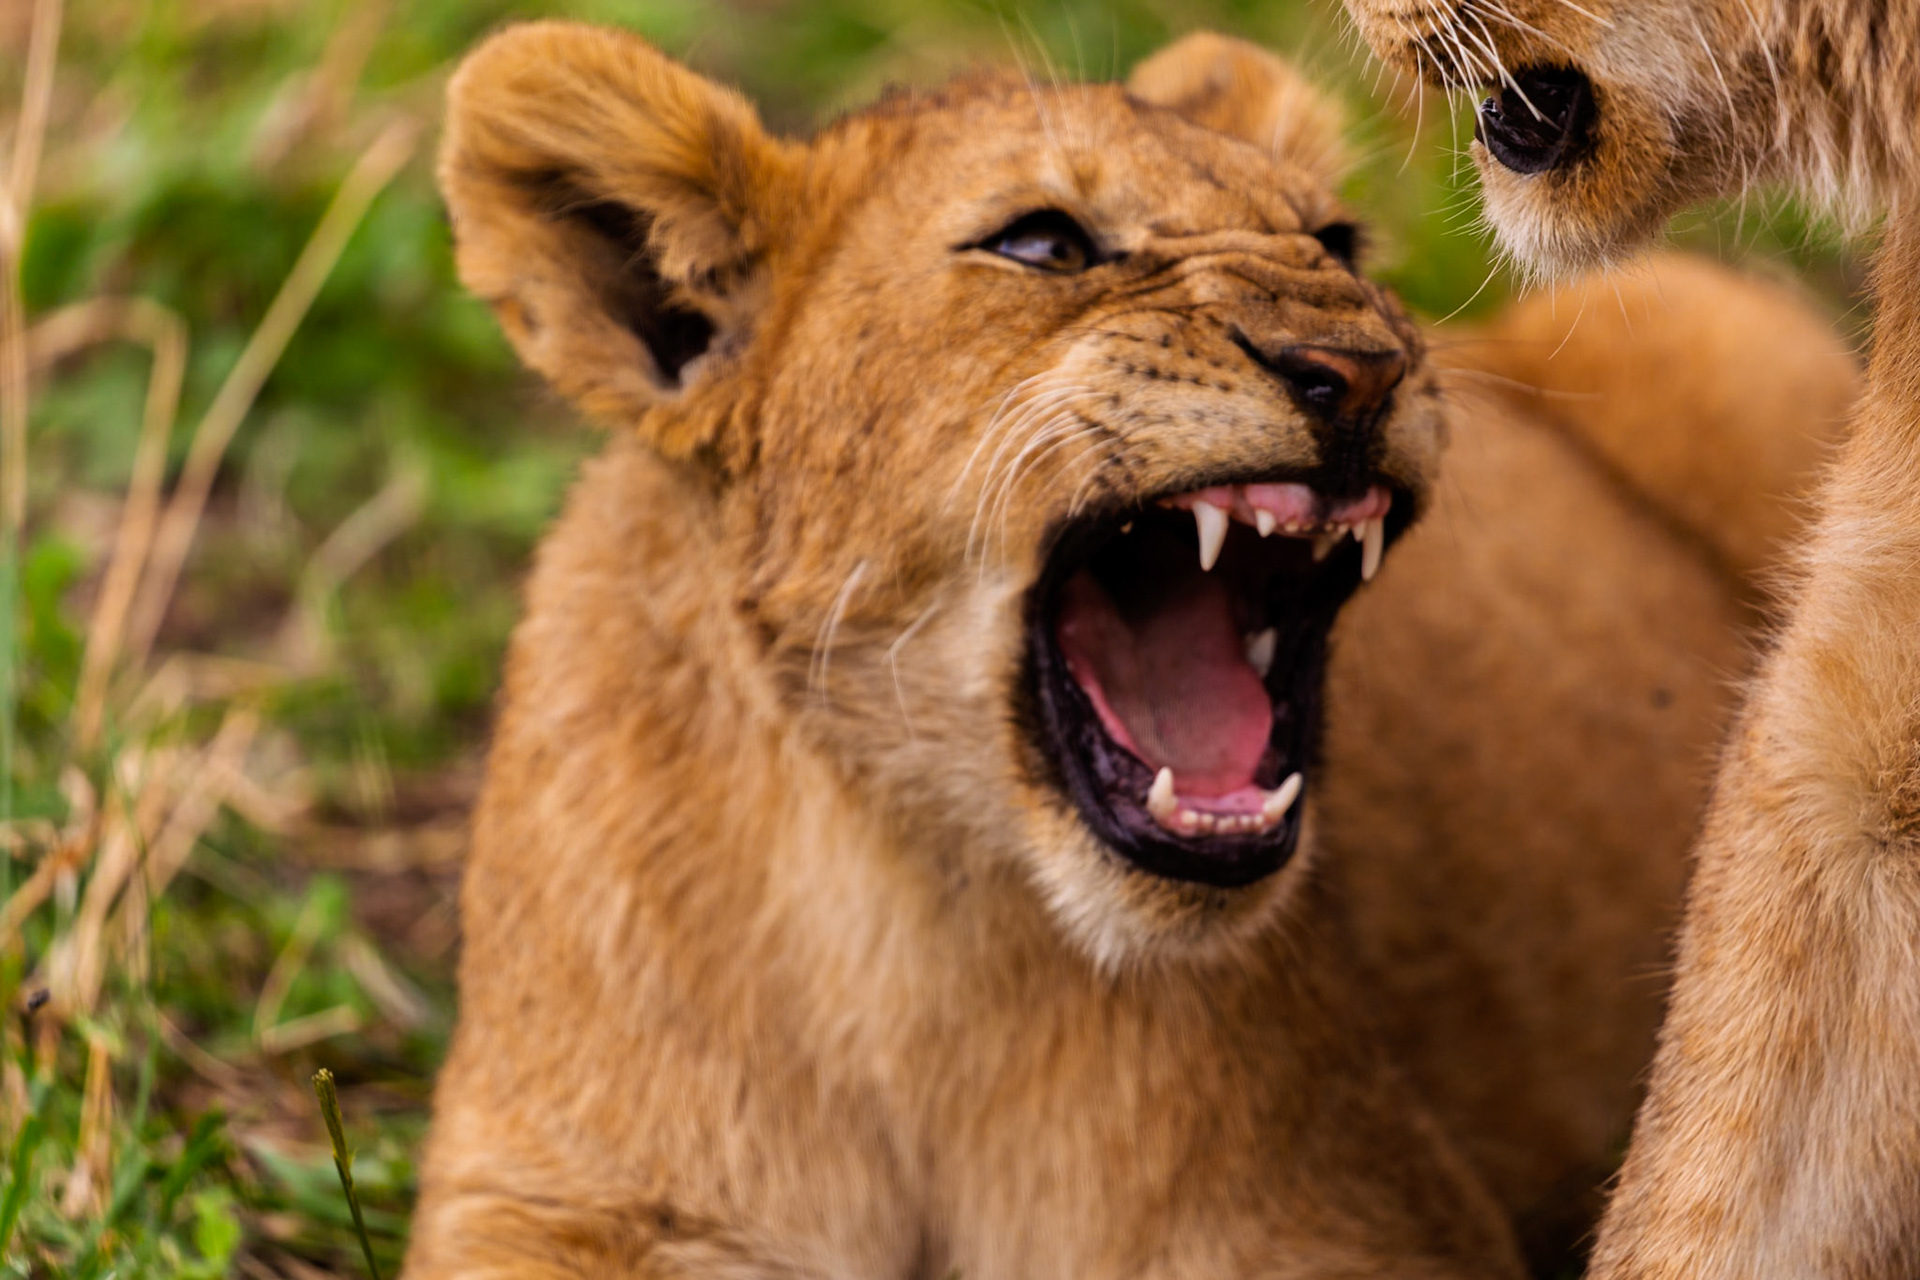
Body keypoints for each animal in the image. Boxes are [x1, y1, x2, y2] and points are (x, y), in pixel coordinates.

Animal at [404, 24, 1850, 1278]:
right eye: (1043, 242)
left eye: (1335, 242)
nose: (1359, 365)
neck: (914, 911)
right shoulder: (558, 1198)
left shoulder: (1336, 1212)